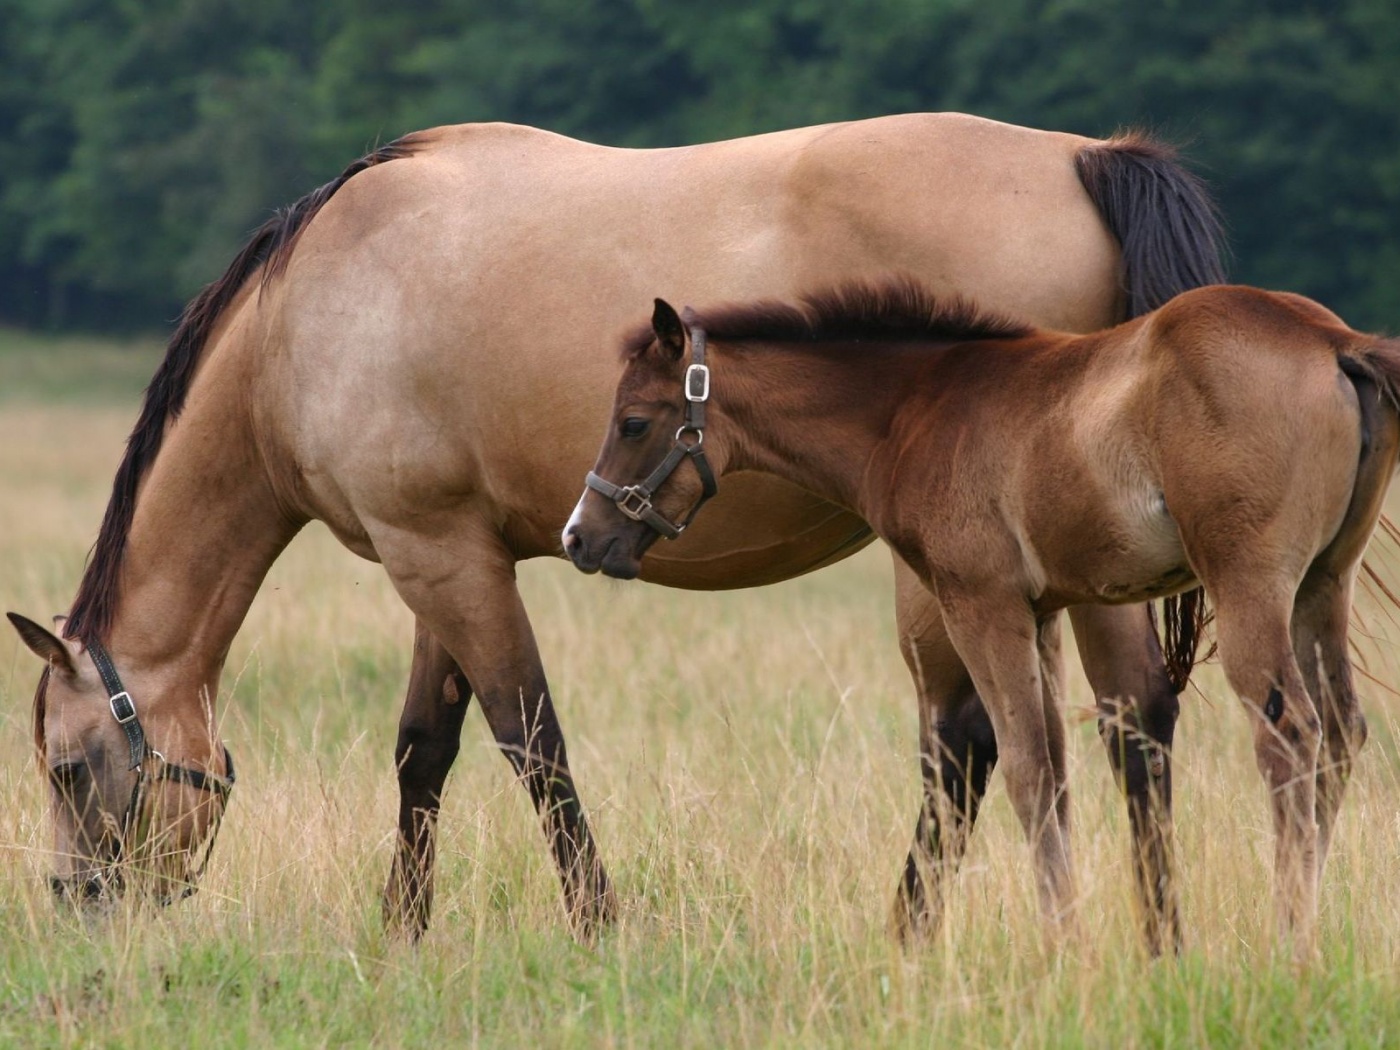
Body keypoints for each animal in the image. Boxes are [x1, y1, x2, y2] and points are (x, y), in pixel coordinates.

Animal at [5, 114, 1220, 952]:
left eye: (67, 768)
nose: (78, 909)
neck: (305, 318)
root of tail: (1086, 158)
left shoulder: (434, 556)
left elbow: (529, 740)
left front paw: (597, 924)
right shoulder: (448, 552)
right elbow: (424, 748)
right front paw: (402, 930)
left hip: (958, 577)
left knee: (970, 745)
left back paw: (913, 935)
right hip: (1077, 570)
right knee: (1131, 723)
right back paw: (1155, 939)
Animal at [565, 281, 1400, 963]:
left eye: (633, 421)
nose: (580, 536)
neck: (913, 409)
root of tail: (1334, 340)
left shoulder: (981, 605)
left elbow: (1027, 768)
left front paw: (1064, 947)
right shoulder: (1041, 612)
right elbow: (1055, 769)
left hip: (1250, 584)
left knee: (1291, 735)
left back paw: (1290, 940)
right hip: (1321, 586)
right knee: (1342, 732)